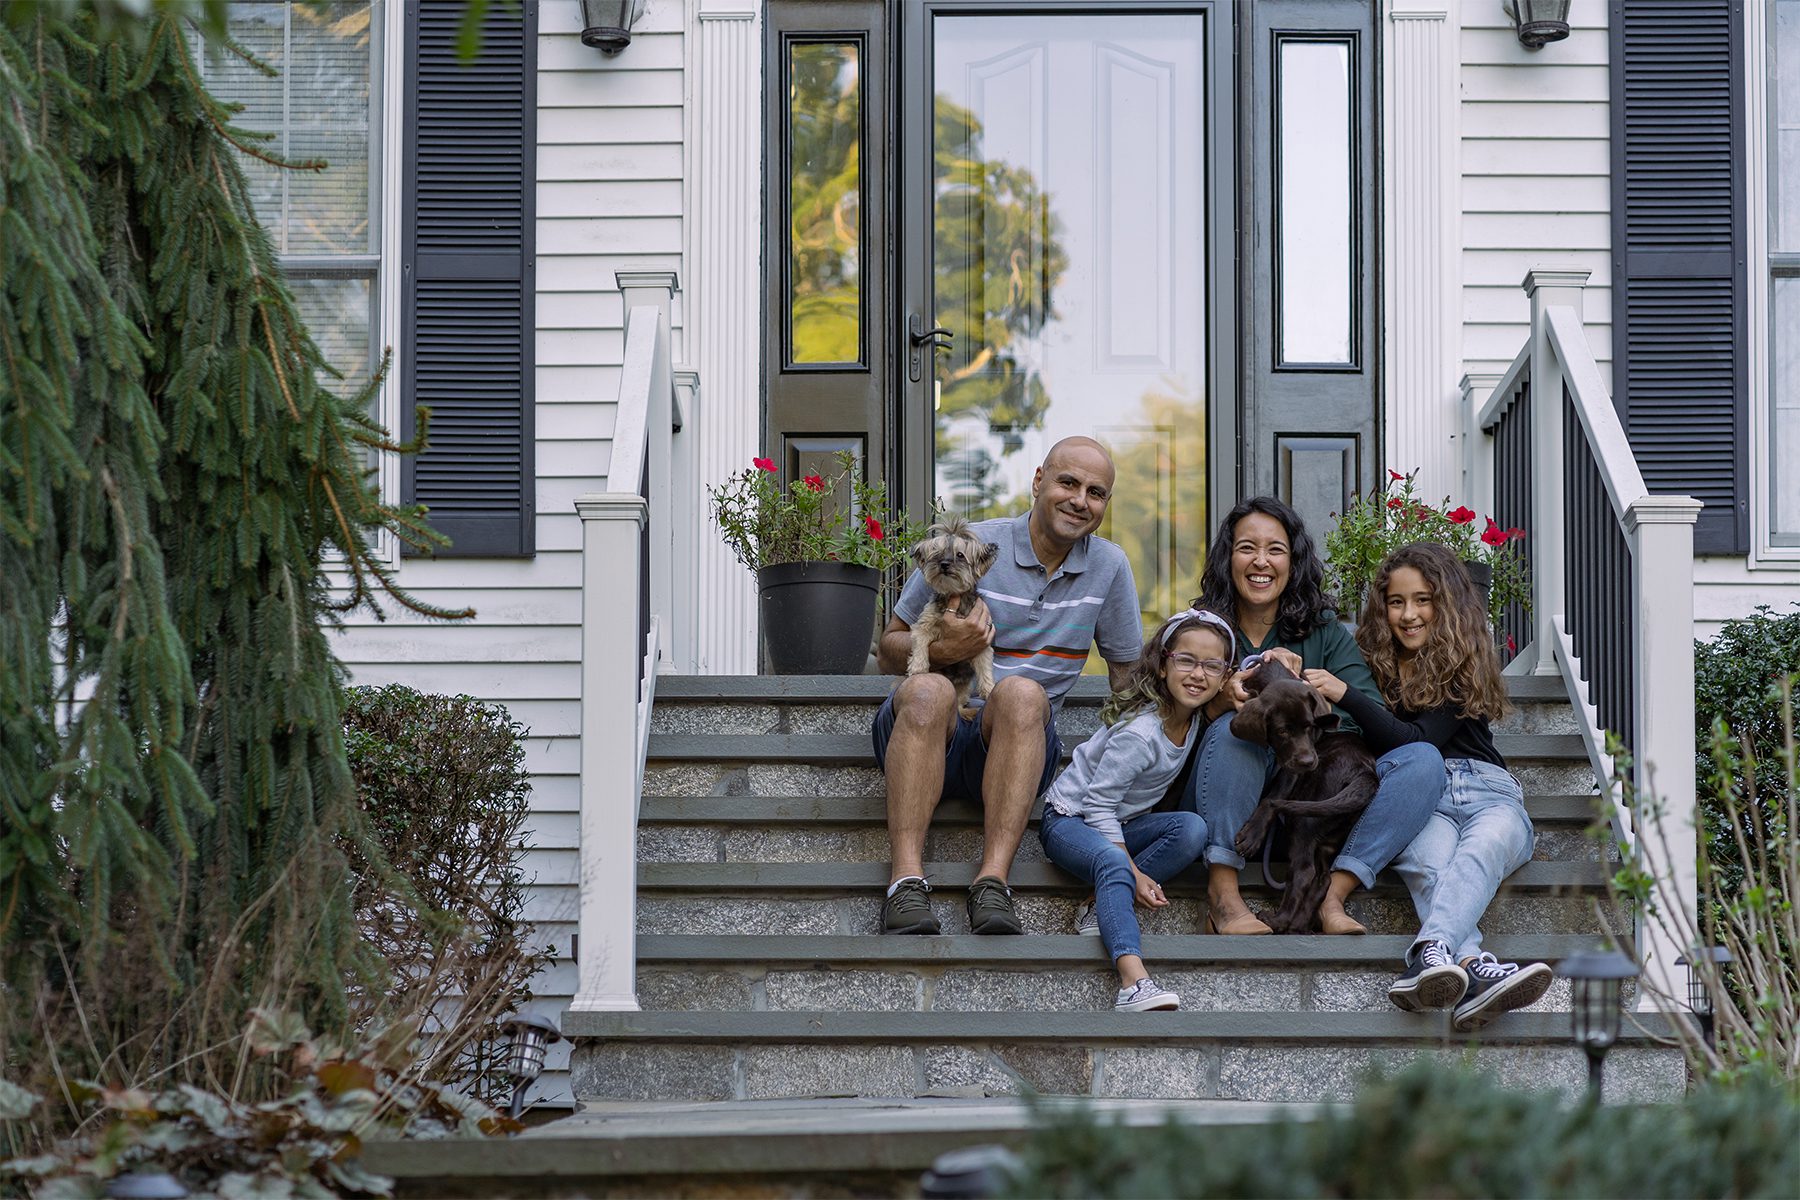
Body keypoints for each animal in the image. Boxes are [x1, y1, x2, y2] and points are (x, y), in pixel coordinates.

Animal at [907, 514, 1008, 719]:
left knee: (959, 704)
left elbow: (985, 668)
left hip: (963, 688)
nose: (944, 564)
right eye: (936, 554)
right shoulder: (924, 626)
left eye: (960, 555)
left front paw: (989, 689)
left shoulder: (982, 644)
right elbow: (920, 642)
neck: (954, 596)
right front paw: (918, 667)